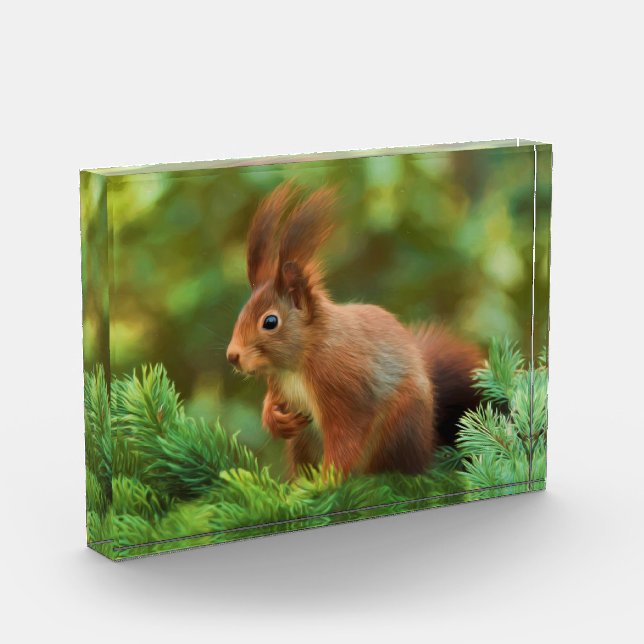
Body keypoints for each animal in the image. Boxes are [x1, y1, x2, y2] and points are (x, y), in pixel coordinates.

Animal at [226, 182, 483, 477]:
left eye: (270, 322)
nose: (232, 356)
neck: (298, 364)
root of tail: (427, 445)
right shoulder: (279, 384)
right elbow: (272, 402)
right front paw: (275, 419)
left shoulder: (343, 386)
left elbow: (346, 438)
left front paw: (327, 481)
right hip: (303, 443)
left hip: (399, 425)